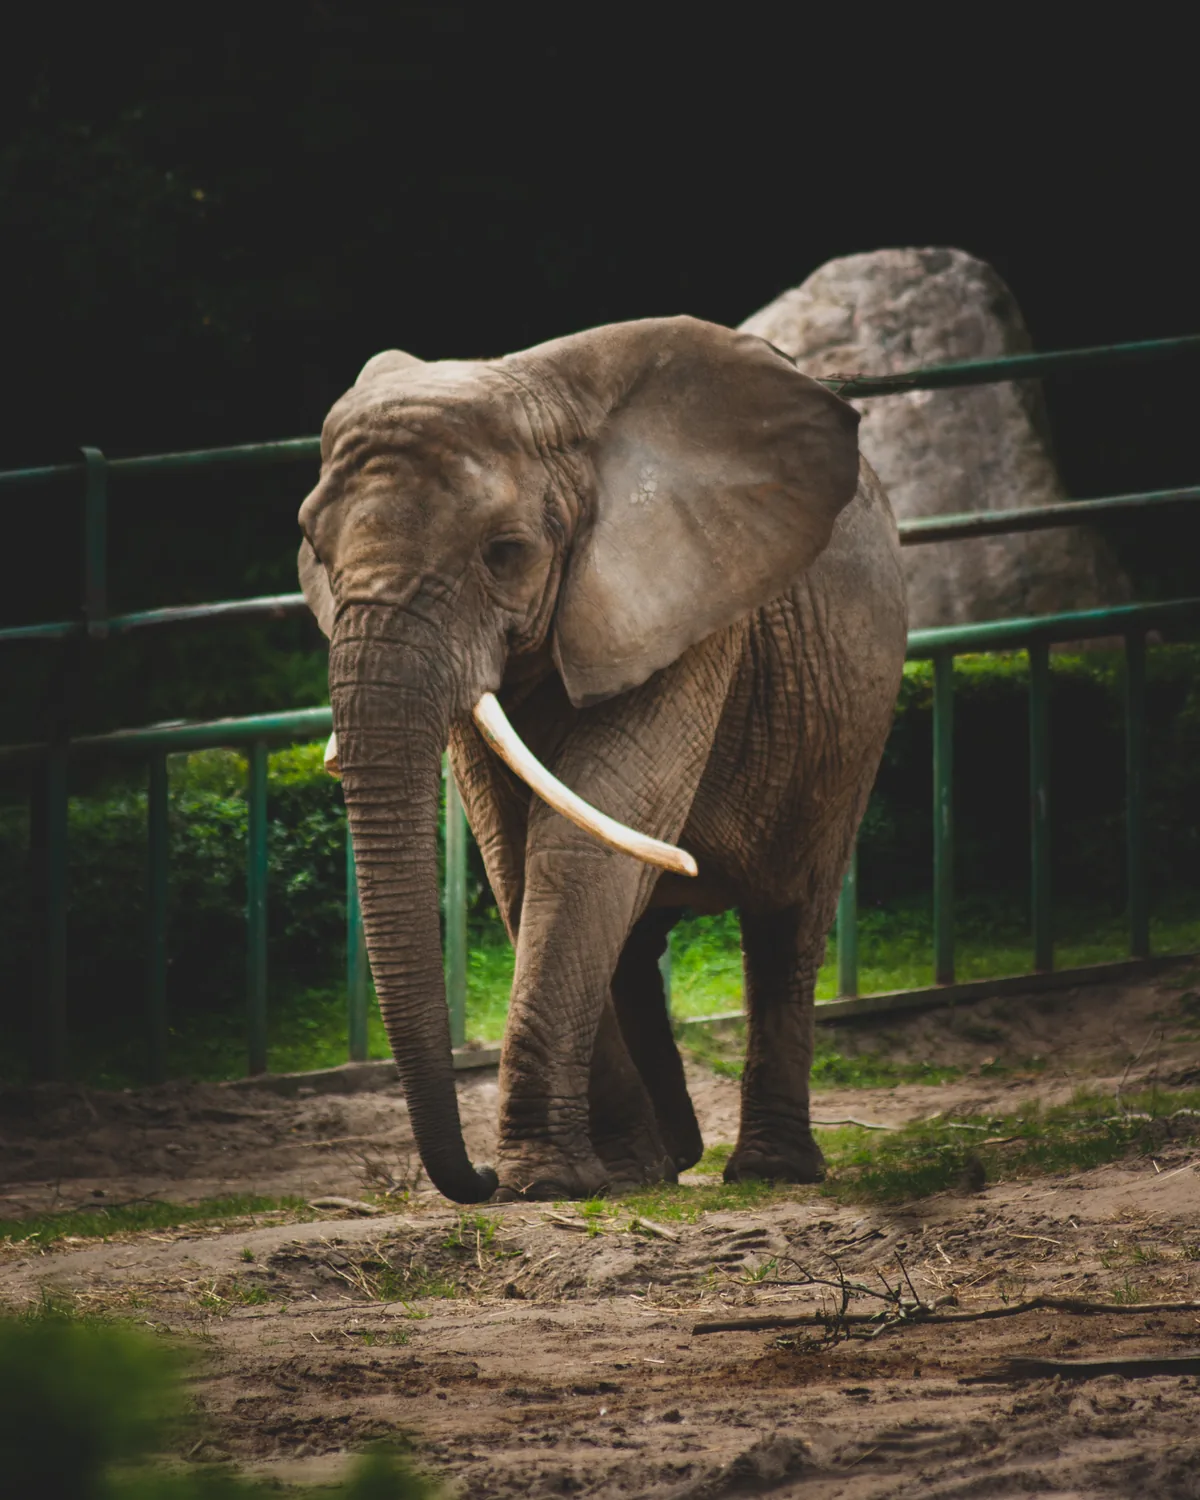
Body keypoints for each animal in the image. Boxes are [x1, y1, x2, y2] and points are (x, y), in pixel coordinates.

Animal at [298, 316, 907, 1205]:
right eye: (313, 546)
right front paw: (603, 1175)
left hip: (853, 721)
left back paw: (767, 1171)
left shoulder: (692, 606)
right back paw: (668, 1161)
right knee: (638, 936)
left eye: (506, 552)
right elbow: (517, 859)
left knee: (788, 921)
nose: (478, 1176)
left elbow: (579, 843)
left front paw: (544, 1182)